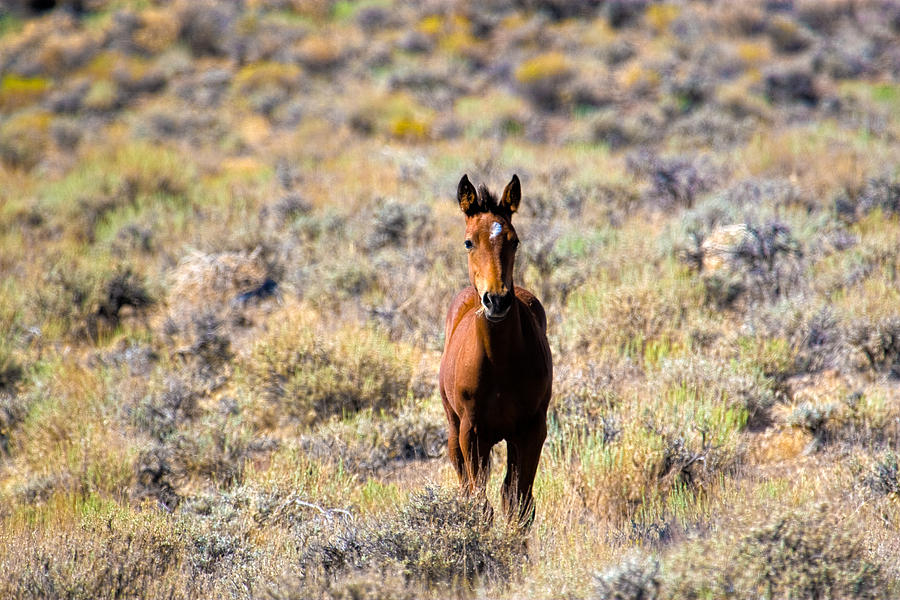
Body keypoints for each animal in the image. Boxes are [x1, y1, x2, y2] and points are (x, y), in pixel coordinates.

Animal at [439, 173, 553, 527]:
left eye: (514, 241)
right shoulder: (471, 433)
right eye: (468, 242)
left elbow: (520, 504)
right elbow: (480, 505)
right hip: (454, 431)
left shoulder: (532, 430)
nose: (497, 300)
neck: (500, 363)